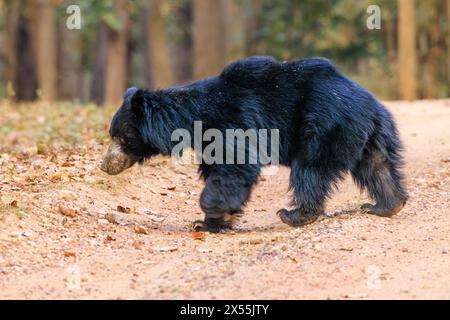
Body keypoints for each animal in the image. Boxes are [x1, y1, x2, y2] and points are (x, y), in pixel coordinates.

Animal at [101, 56, 408, 232]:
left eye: (119, 137)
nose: (104, 164)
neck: (194, 117)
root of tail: (369, 105)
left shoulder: (232, 121)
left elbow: (236, 166)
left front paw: (211, 217)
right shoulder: (208, 141)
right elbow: (220, 171)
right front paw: (213, 220)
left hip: (325, 126)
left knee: (310, 170)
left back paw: (296, 214)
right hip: (371, 135)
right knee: (377, 166)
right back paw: (386, 205)